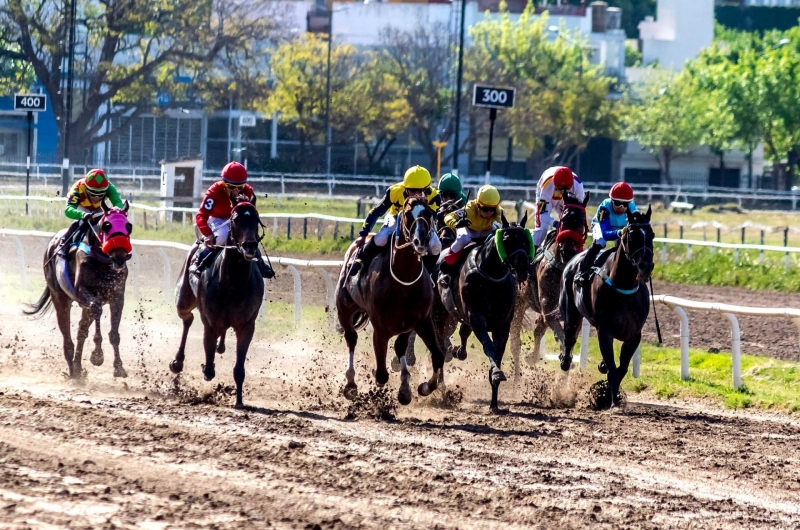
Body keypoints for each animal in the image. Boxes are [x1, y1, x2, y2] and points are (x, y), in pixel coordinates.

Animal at [25, 198, 132, 376]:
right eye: (107, 226)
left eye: (128, 226)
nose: (119, 257)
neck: (102, 261)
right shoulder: (82, 292)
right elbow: (97, 309)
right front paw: (97, 355)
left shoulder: (117, 295)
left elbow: (114, 332)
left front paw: (119, 367)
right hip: (60, 297)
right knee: (66, 333)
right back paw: (73, 371)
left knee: (81, 331)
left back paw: (77, 366)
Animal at [171, 200, 266, 406]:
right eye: (236, 219)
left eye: (256, 218)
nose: (249, 246)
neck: (233, 283)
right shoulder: (210, 321)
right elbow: (208, 366)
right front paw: (206, 368)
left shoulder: (247, 325)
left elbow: (239, 368)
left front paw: (239, 401)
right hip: (183, 300)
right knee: (187, 319)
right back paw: (177, 362)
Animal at [336, 196, 446, 402]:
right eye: (407, 214)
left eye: (428, 213)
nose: (421, 240)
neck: (404, 282)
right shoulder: (380, 328)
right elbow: (381, 374)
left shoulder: (420, 321)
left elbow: (436, 355)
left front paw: (419, 387)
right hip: (344, 307)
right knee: (351, 338)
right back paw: (351, 383)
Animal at [432, 212, 532, 410]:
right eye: (507, 239)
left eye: (526, 239)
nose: (523, 268)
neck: (491, 275)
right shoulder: (477, 318)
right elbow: (489, 347)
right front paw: (496, 373)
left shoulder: (503, 325)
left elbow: (498, 352)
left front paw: (494, 400)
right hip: (440, 316)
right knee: (440, 345)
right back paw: (441, 386)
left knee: (462, 333)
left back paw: (458, 352)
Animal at [560, 207, 652, 408]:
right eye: (632, 235)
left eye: (652, 234)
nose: (646, 266)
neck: (623, 285)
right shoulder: (605, 331)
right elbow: (612, 368)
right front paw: (611, 401)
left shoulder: (634, 335)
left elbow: (621, 368)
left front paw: (609, 395)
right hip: (571, 312)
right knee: (569, 339)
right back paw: (565, 360)